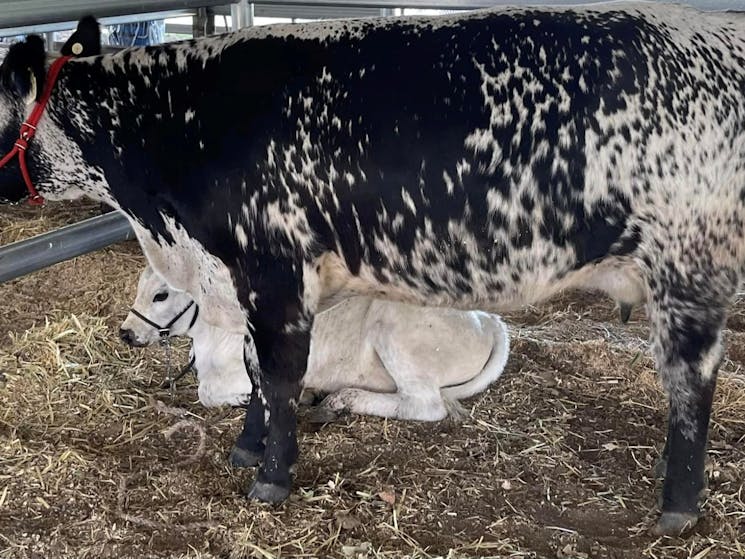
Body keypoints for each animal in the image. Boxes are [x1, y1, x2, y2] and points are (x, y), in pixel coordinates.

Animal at [120, 266, 512, 464]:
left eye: (161, 294)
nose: (126, 332)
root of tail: (488, 319)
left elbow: (208, 391)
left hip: (395, 334)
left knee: (424, 405)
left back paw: (341, 399)